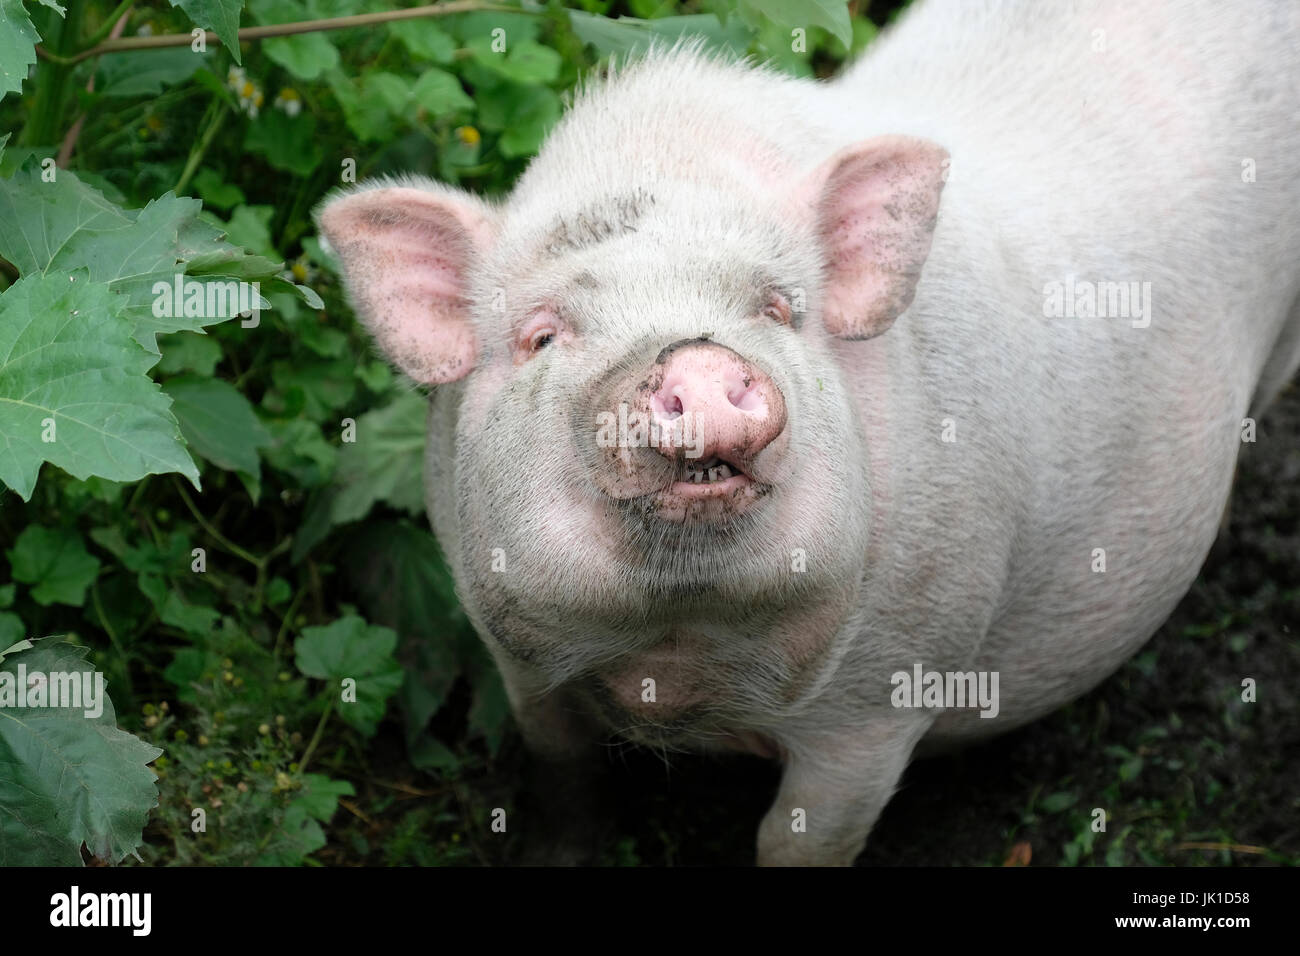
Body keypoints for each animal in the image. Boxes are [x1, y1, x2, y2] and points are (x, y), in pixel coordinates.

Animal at [314, 0, 1300, 868]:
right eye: (542, 336)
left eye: (778, 309)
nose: (697, 360)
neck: (676, 653)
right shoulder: (517, 661)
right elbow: (564, 782)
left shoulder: (882, 702)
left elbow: (802, 840)